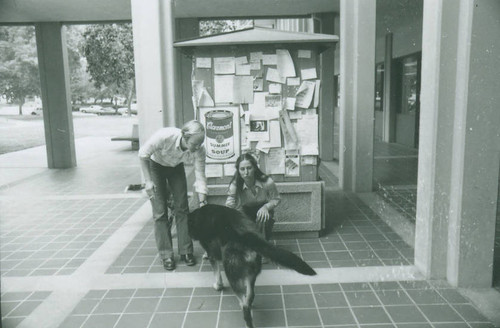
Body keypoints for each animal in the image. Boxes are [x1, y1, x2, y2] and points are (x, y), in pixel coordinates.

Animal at [188, 202, 316, 328]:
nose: (191, 235)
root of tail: (247, 237)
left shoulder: (212, 254)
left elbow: (217, 274)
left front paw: (218, 286)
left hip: (233, 276)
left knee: (244, 304)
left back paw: (247, 319)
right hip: (251, 275)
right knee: (250, 296)